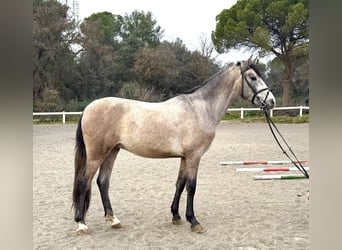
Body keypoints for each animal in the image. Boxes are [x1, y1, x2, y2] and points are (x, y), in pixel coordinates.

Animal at [71, 56, 276, 234]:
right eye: (253, 77)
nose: (271, 101)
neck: (200, 109)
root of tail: (88, 108)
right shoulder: (194, 156)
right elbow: (191, 187)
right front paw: (194, 221)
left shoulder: (185, 157)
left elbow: (180, 184)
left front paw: (176, 216)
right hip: (97, 155)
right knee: (84, 182)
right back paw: (81, 224)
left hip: (112, 152)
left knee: (102, 182)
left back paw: (113, 219)